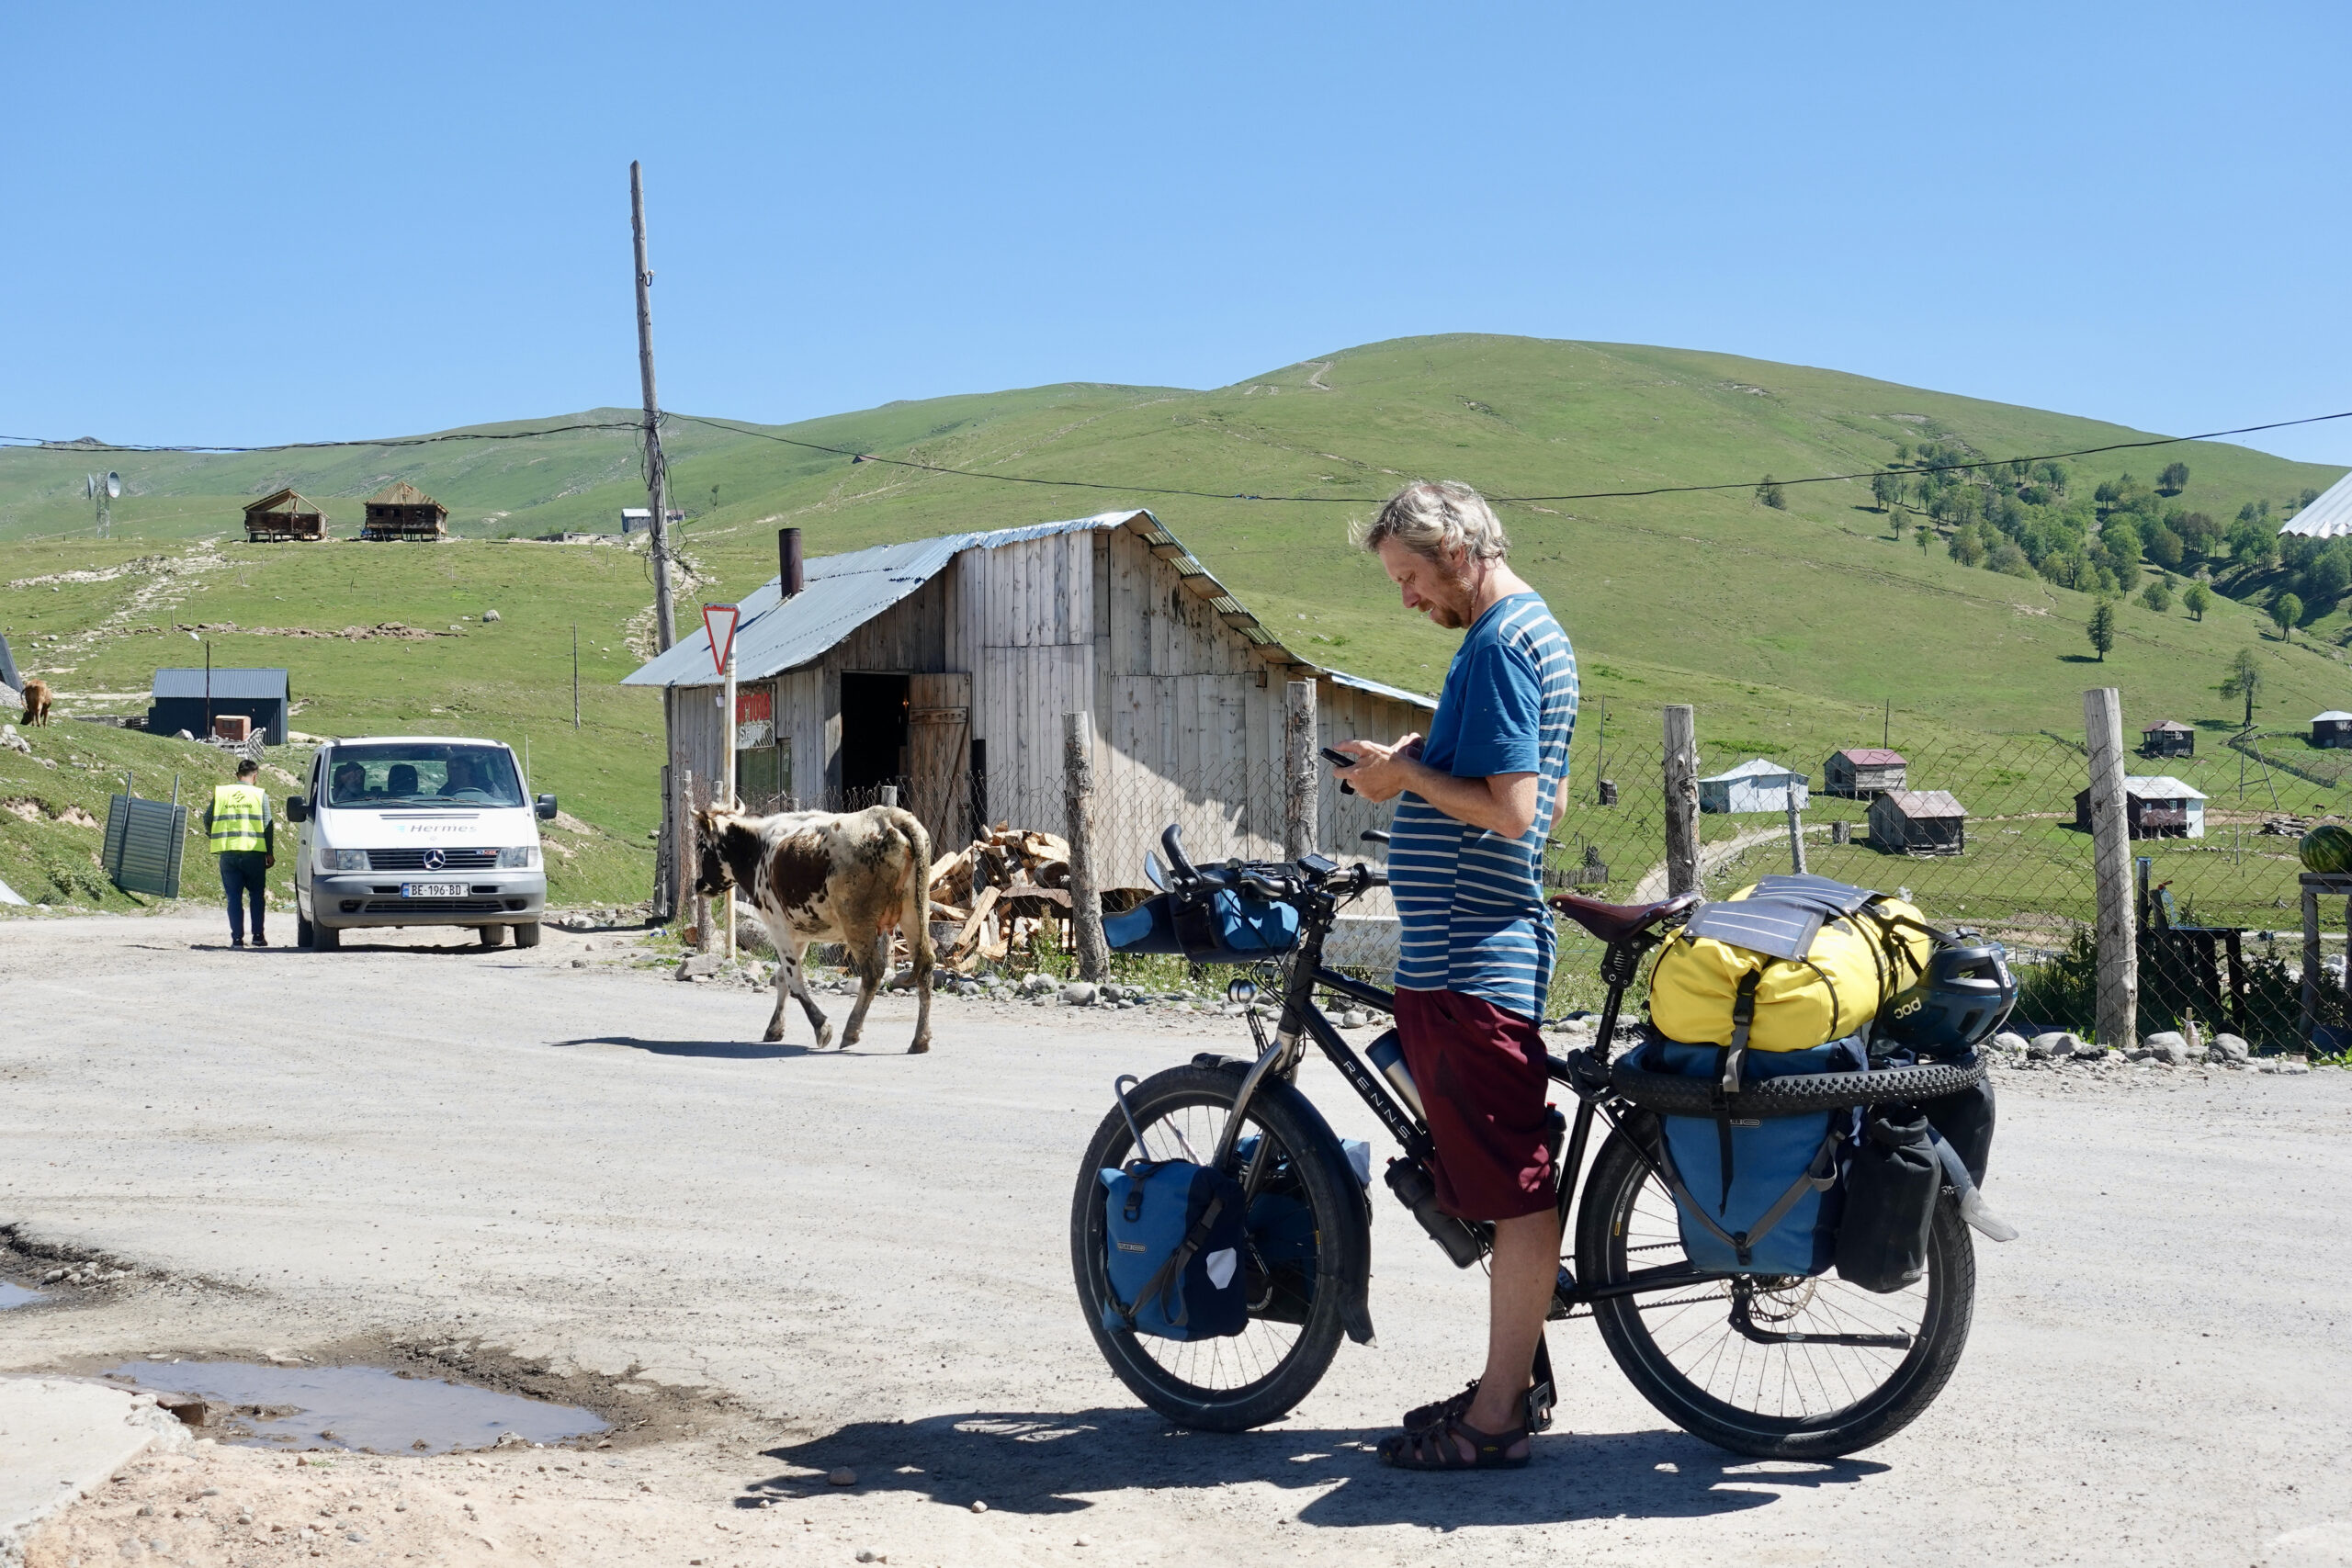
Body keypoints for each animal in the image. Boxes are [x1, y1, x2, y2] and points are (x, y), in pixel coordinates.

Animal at [686, 808, 935, 1053]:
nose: (698, 885)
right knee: (925, 965)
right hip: (915, 911)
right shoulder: (800, 933)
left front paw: (821, 1027)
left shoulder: (778, 928)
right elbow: (781, 977)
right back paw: (920, 1039)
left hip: (857, 921)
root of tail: (888, 816)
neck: (756, 848)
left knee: (873, 970)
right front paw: (775, 1028)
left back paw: (851, 1031)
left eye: (702, 847)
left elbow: (794, 982)